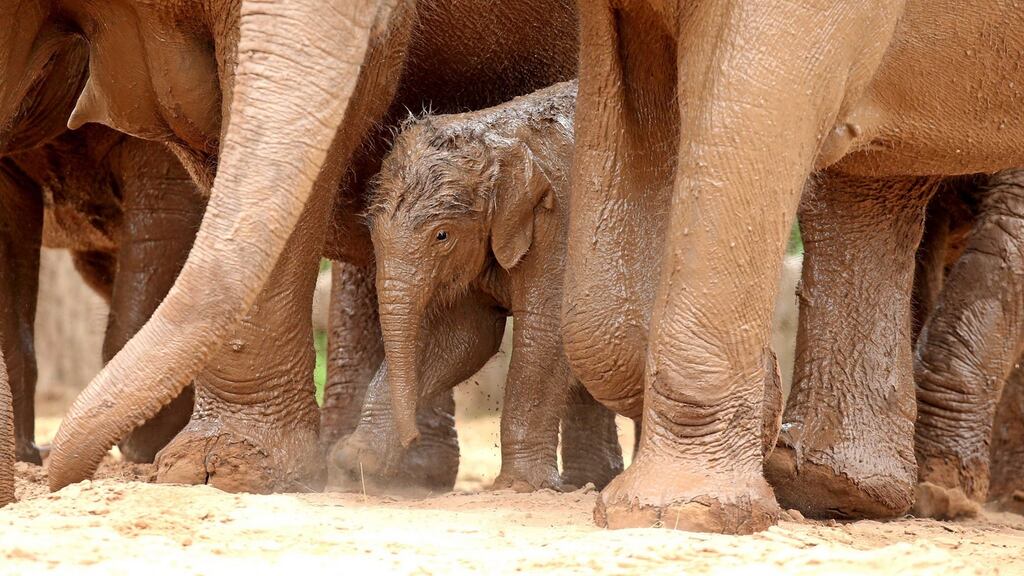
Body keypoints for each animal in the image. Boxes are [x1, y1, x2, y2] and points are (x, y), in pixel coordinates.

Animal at [332, 81, 624, 492]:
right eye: (371, 231)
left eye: (442, 236)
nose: (413, 438)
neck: (494, 135)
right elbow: (464, 336)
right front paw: (354, 461)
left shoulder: (562, 219)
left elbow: (546, 330)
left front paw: (521, 487)